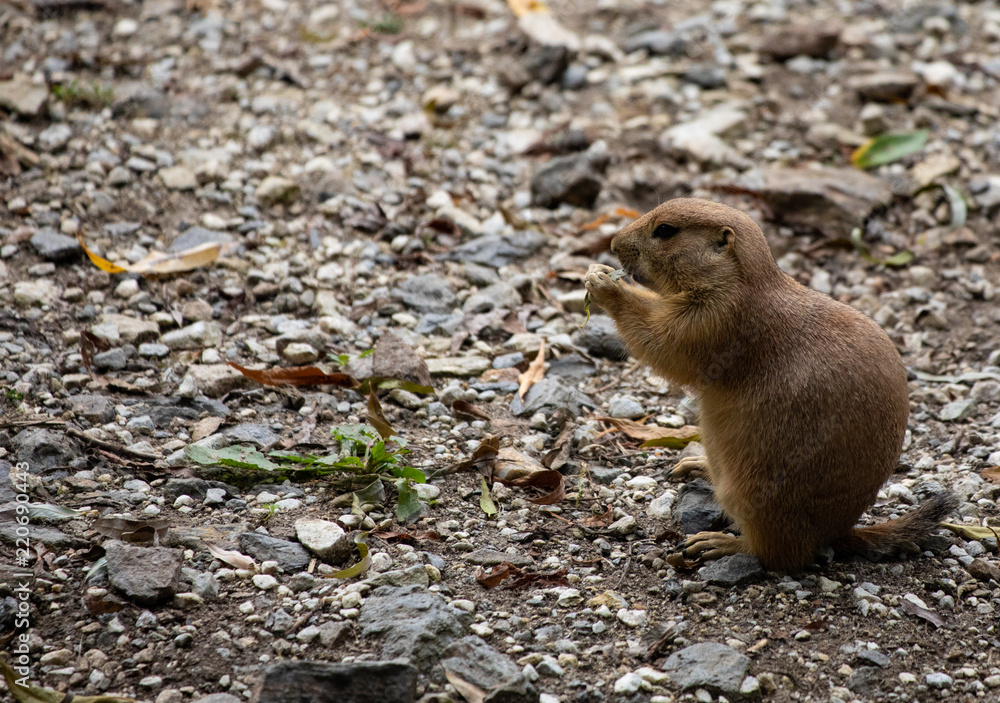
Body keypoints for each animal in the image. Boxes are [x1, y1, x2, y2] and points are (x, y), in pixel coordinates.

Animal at [585, 198, 957, 571]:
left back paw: (716, 544)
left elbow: (664, 341)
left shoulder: (714, 320)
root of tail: (837, 534)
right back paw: (695, 466)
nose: (613, 244)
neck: (742, 280)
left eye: (665, 231)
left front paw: (603, 283)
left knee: (779, 555)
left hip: (757, 496)